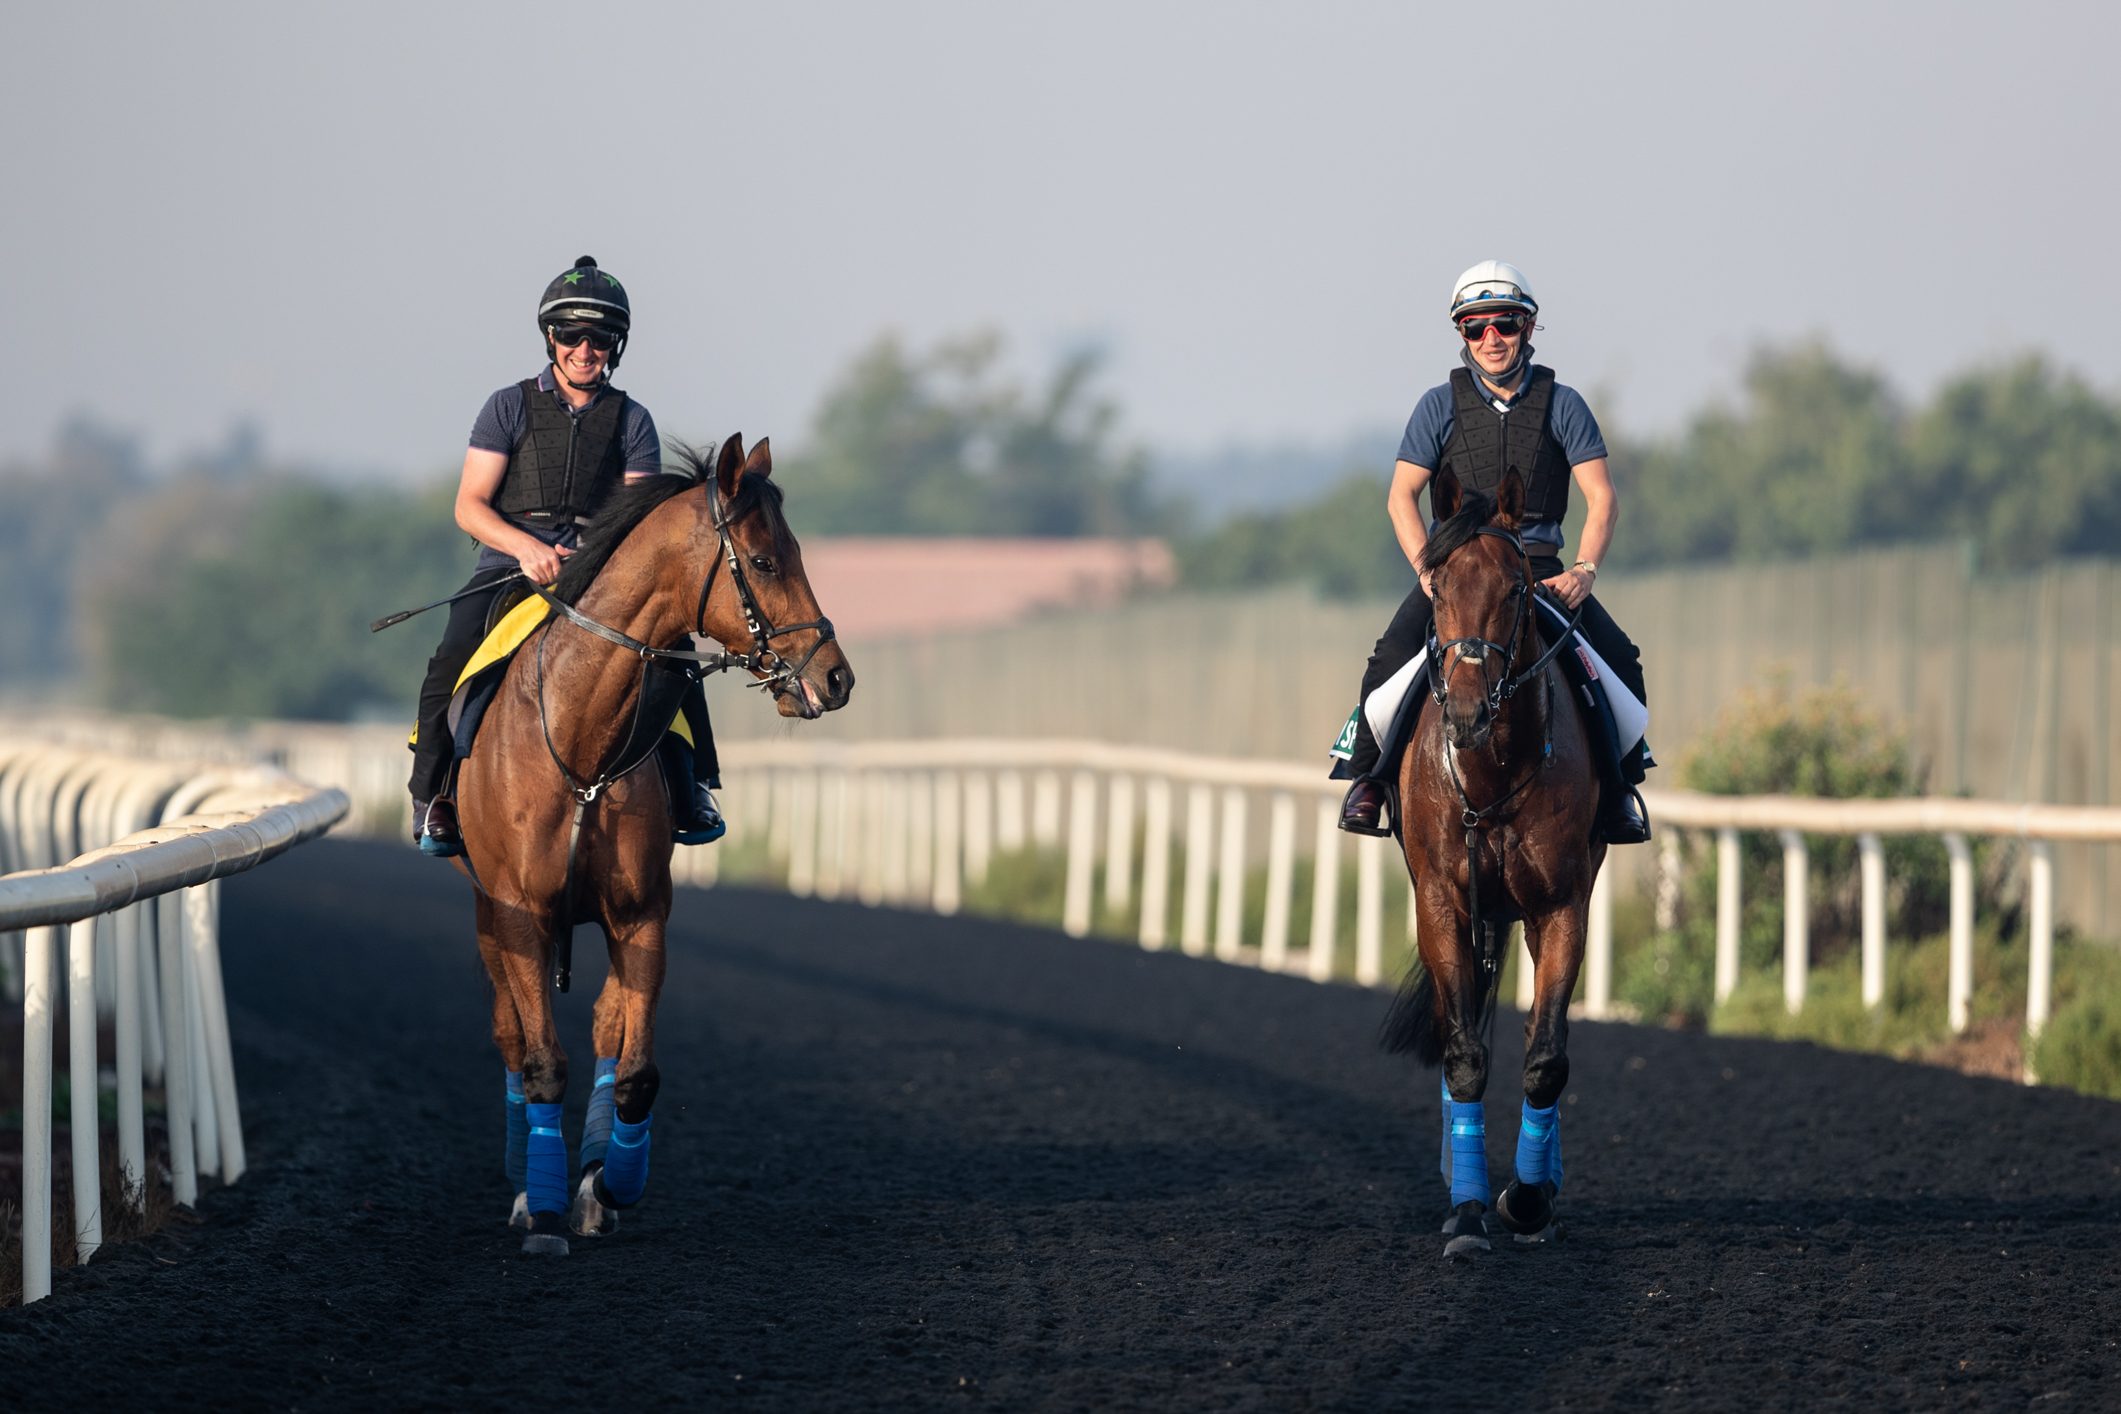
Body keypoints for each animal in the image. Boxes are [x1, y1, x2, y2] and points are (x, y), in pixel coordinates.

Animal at [454, 433, 853, 1255]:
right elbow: (540, 1059)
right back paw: (526, 1186)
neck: (581, 743)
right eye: (764, 560)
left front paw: (608, 1184)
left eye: (796, 551)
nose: (836, 678)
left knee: (607, 1027)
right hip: (485, 912)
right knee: (510, 1036)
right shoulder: (518, 913)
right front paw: (542, 1209)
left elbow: (635, 1070)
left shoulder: (641, 916)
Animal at [1380, 463, 1604, 1257]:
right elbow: (1464, 1055)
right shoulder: (1441, 904)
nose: (1467, 713)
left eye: (1515, 589)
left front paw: (1527, 1199)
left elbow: (1546, 1059)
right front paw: (1470, 1211)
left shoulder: (1561, 905)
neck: (1492, 776)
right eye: (1440, 588)